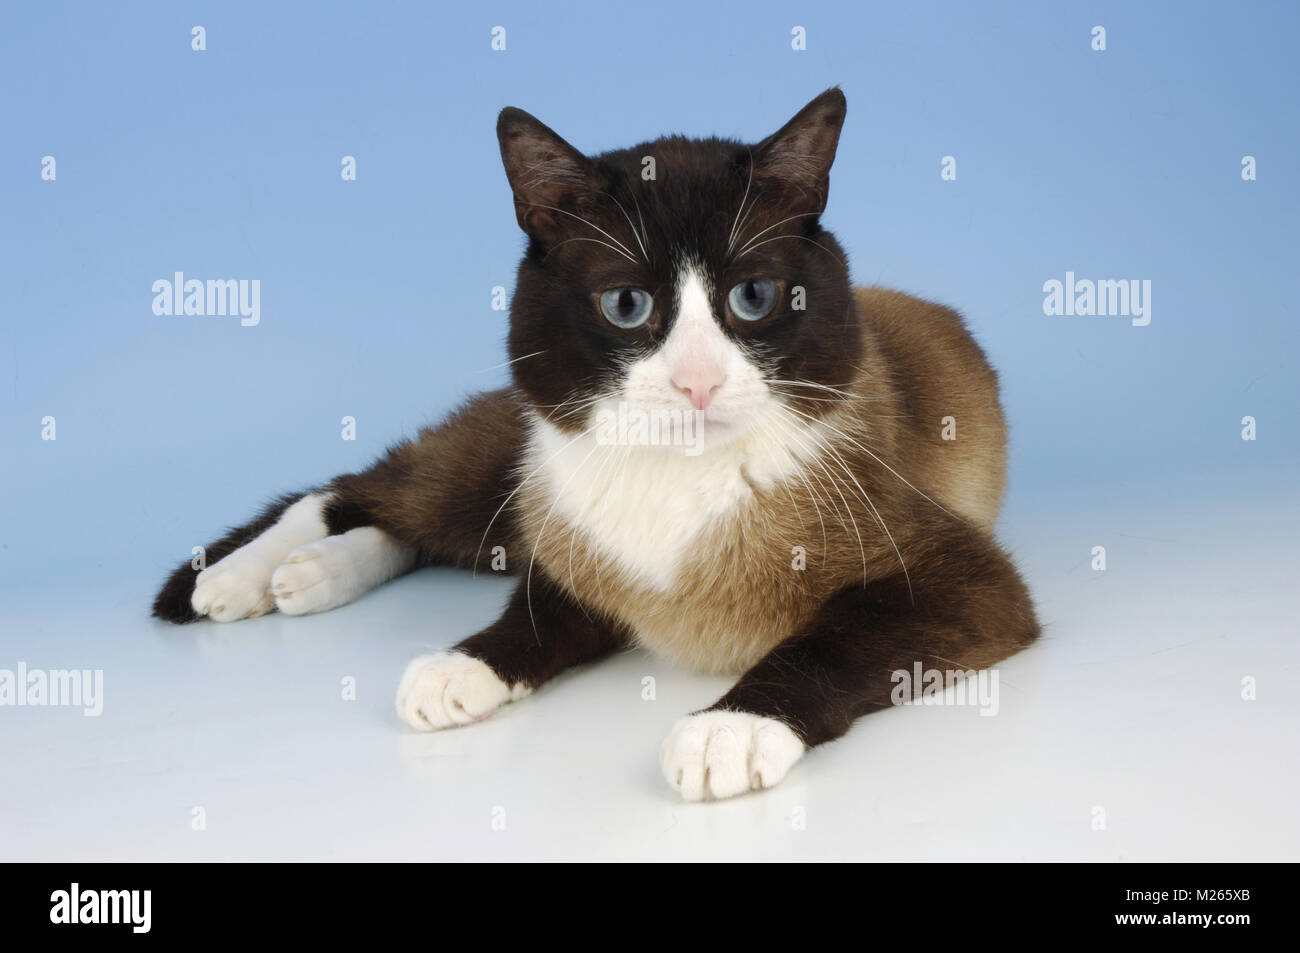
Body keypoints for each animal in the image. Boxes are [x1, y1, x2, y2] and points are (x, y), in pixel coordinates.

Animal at [154, 89, 1045, 800]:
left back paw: (303, 580)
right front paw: (461, 665)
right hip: (499, 480)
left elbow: (828, 641)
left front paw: (727, 729)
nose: (696, 383)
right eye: (626, 306)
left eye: (754, 296)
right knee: (357, 491)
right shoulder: (577, 554)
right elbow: (532, 616)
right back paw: (233, 580)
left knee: (400, 527)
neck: (678, 483)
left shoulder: (959, 580)